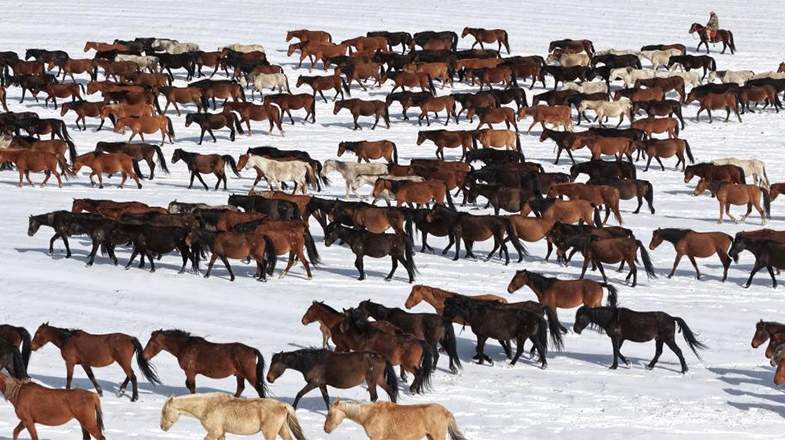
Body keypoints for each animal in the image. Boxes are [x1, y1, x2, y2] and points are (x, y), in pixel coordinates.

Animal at [30, 323, 160, 402]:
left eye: (37, 333)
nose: (32, 347)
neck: (67, 340)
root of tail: (131, 338)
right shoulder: (84, 364)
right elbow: (91, 377)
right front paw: (100, 392)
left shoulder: (71, 363)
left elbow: (71, 378)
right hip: (124, 362)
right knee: (130, 375)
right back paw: (121, 391)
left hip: (123, 362)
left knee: (132, 376)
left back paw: (134, 397)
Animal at [160, 393, 305, 440]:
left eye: (164, 412)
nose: (162, 427)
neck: (206, 406)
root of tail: (284, 405)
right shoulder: (221, 433)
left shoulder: (214, 431)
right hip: (282, 429)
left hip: (270, 432)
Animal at [267, 349, 397, 410]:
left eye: (275, 364)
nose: (268, 378)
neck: (312, 362)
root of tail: (381, 357)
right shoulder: (321, 384)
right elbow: (326, 398)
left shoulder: (314, 383)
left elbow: (299, 394)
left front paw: (293, 408)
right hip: (379, 380)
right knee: (391, 392)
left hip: (371, 380)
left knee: (374, 397)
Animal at [573, 306, 707, 372]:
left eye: (580, 317)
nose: (575, 329)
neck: (612, 318)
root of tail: (672, 318)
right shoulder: (620, 339)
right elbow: (618, 352)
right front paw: (627, 363)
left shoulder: (616, 338)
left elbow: (616, 351)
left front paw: (614, 366)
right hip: (659, 339)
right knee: (659, 352)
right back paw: (649, 366)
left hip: (668, 339)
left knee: (678, 351)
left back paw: (684, 370)